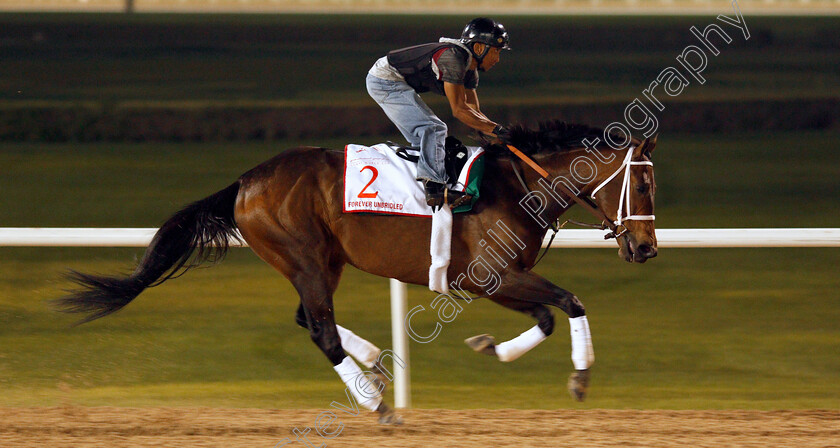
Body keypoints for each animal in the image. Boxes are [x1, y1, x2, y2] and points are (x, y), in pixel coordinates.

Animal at [55, 121, 660, 422]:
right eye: (643, 182)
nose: (647, 248)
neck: (518, 185)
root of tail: (245, 182)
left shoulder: (494, 282)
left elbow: (548, 315)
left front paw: (492, 347)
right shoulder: (488, 275)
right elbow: (570, 301)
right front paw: (581, 377)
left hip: (323, 260)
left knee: (307, 317)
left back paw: (370, 361)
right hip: (302, 255)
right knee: (319, 328)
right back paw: (376, 403)